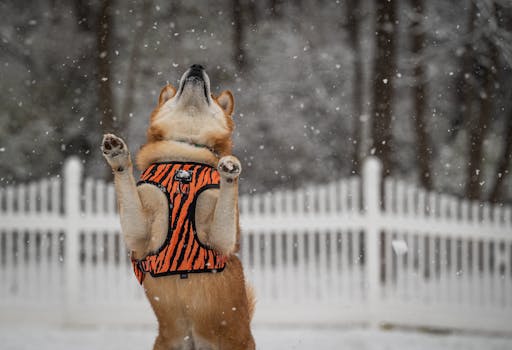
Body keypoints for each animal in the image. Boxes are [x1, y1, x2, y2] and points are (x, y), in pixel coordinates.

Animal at [102, 64, 256, 348]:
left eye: (213, 97)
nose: (197, 65)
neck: (185, 157)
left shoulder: (222, 241)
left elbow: (226, 199)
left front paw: (230, 169)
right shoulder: (139, 236)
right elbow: (126, 185)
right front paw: (117, 156)